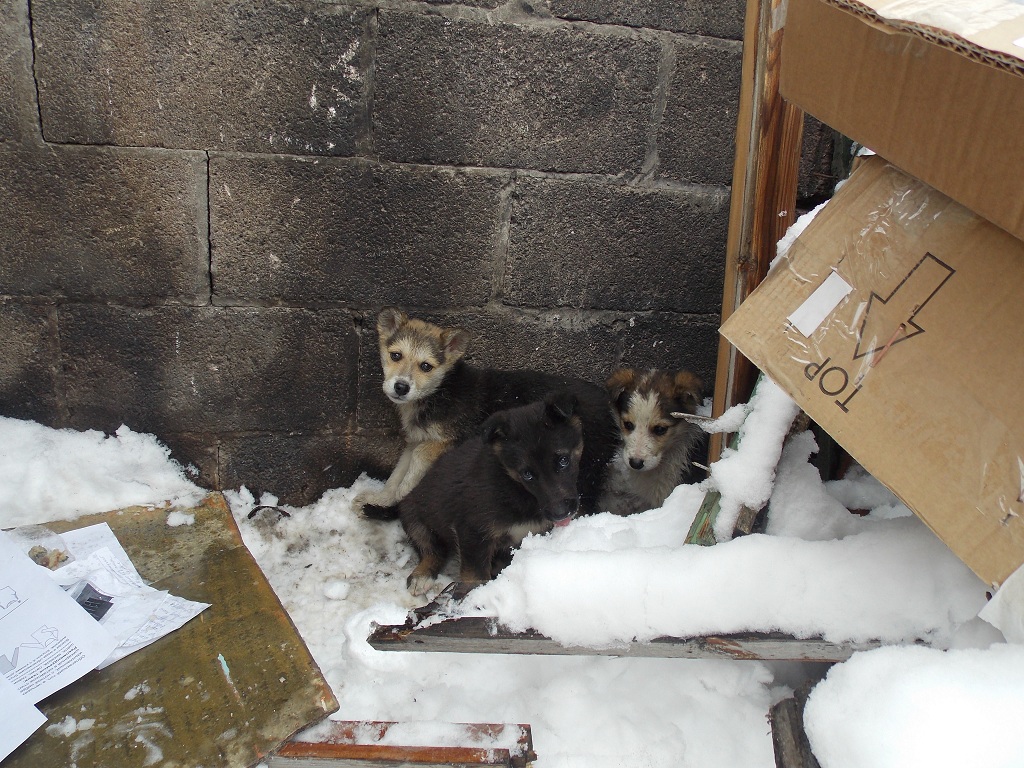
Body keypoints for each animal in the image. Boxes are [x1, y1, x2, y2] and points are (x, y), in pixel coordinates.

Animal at [393, 393, 581, 598]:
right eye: (527, 474)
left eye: (563, 460)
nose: (561, 513)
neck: (513, 486)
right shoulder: (473, 530)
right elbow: (475, 575)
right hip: (413, 517)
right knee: (430, 549)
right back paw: (421, 576)